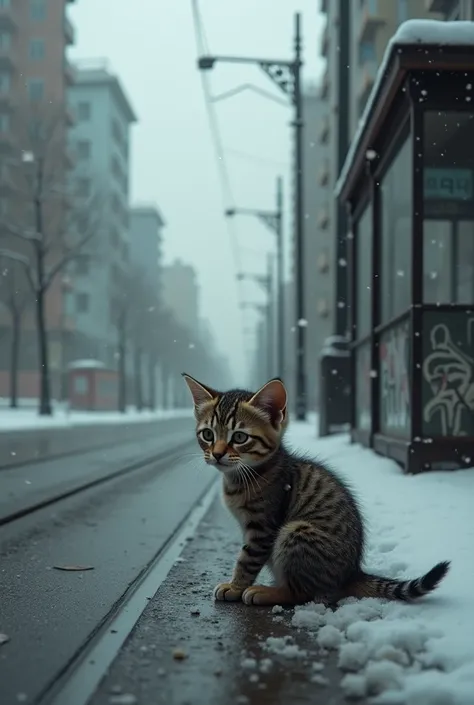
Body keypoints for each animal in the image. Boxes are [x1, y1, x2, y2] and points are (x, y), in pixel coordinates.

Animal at [182, 374, 452, 604]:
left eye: (239, 437)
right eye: (207, 434)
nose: (217, 454)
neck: (242, 477)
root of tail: (352, 573)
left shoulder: (263, 528)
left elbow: (247, 559)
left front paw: (235, 586)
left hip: (296, 532)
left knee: (301, 593)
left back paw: (266, 592)